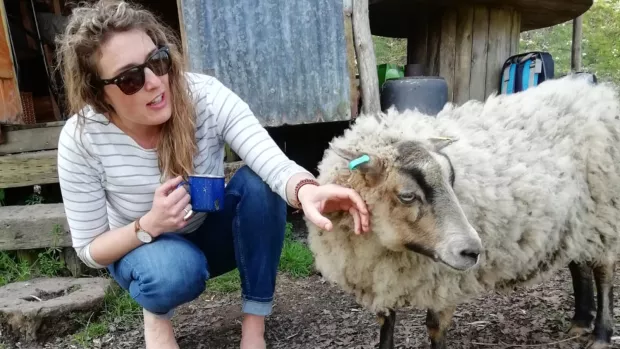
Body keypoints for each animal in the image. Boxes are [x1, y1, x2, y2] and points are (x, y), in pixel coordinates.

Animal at [308, 75, 620, 348]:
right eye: (407, 195)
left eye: (452, 179)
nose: (473, 251)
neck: (388, 247)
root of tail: (597, 92)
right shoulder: (380, 280)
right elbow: (387, 325)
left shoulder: (444, 279)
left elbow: (435, 328)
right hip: (575, 220)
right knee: (578, 262)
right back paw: (580, 321)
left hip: (603, 212)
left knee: (604, 270)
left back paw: (601, 335)